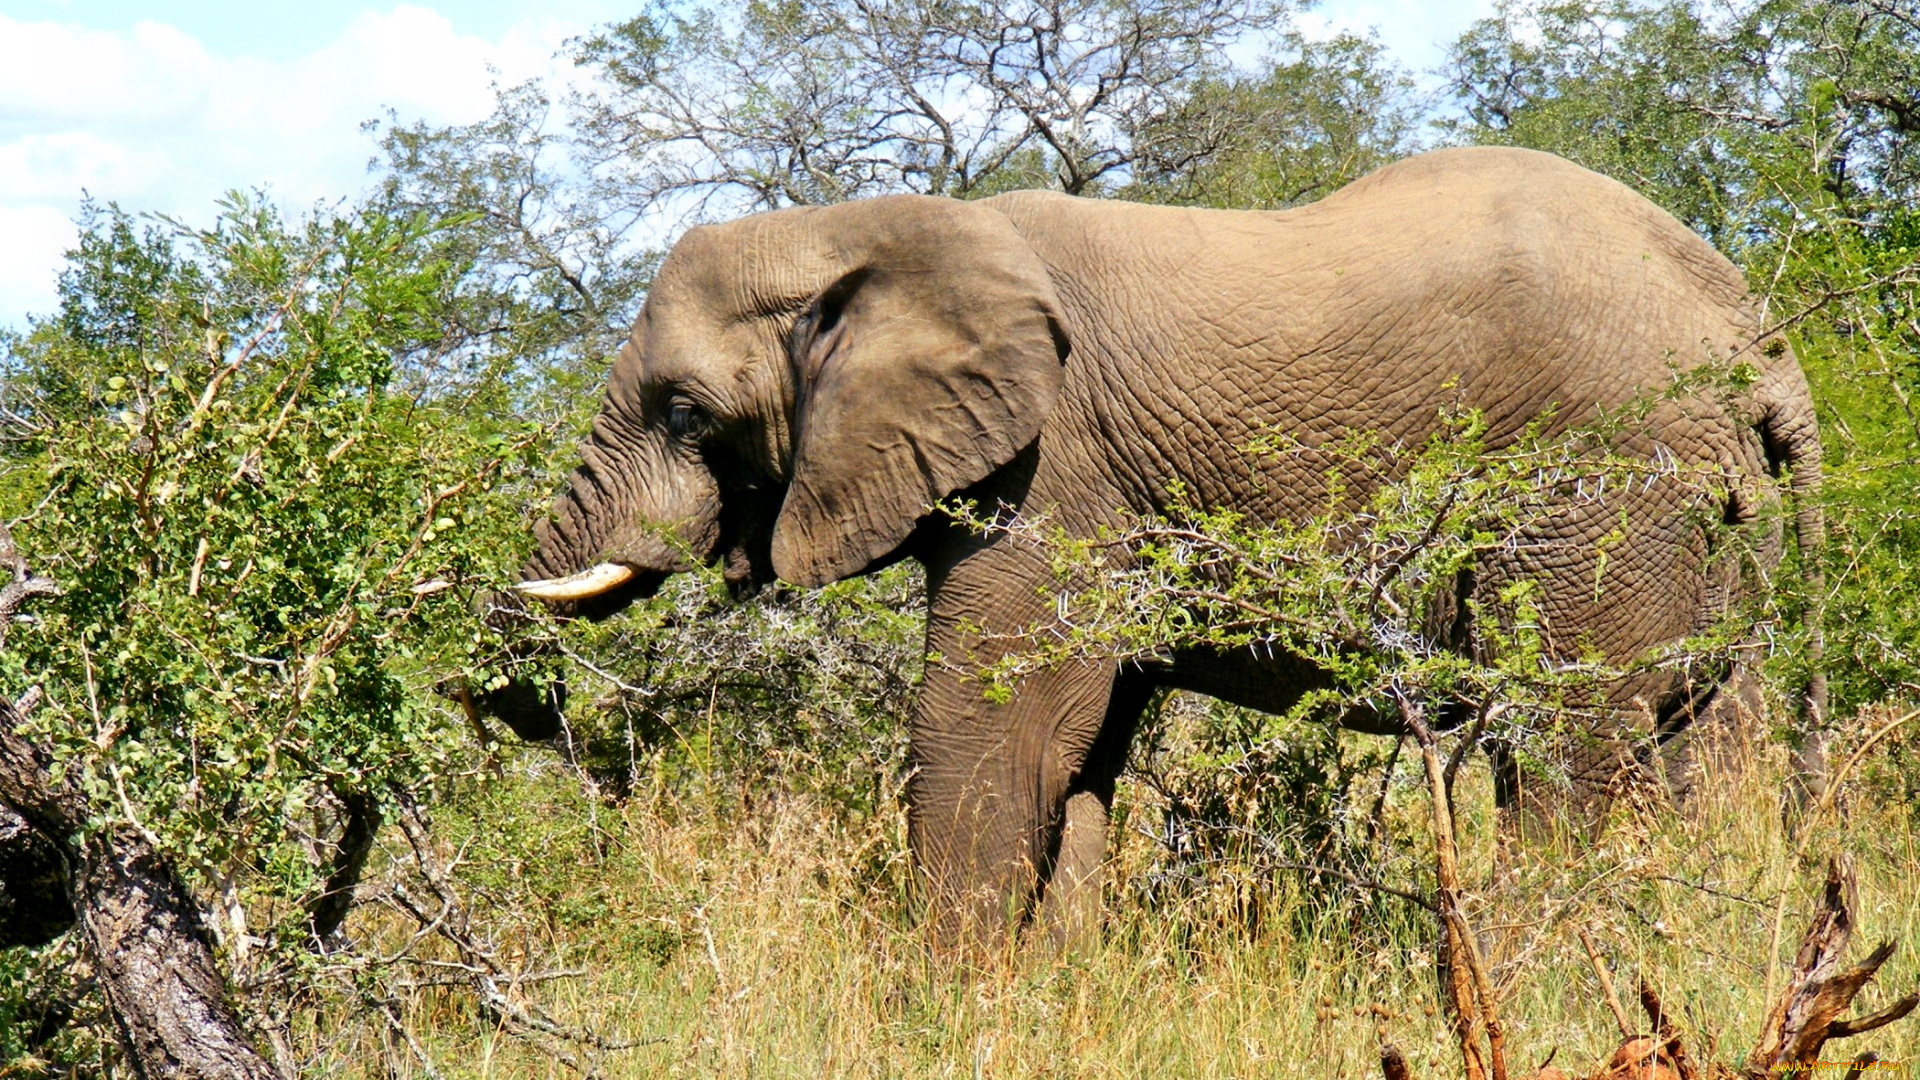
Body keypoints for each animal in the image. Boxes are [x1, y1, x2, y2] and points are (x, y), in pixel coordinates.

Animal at [487, 145, 1820, 941]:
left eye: (684, 414)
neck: (876, 229)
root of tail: (1757, 340)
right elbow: (1079, 751)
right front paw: (1058, 985)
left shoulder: (1053, 470)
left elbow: (991, 728)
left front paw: (944, 1007)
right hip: (1710, 519)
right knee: (1710, 733)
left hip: (1596, 486)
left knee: (1563, 740)